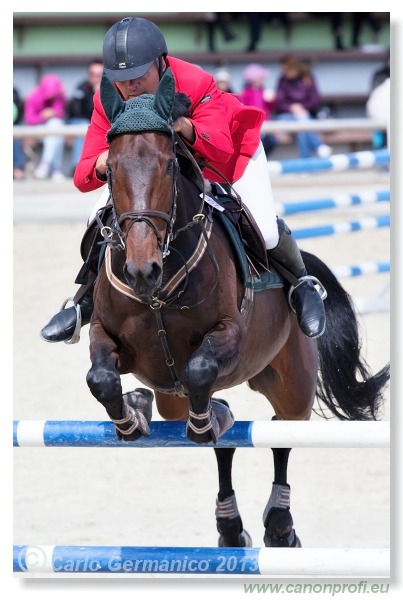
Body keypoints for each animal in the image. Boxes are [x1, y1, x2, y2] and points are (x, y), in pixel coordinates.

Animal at [86, 70, 392, 548]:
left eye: (170, 165)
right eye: (110, 169)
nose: (141, 270)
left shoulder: (230, 334)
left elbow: (199, 371)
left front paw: (200, 421)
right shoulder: (108, 335)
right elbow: (100, 376)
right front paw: (131, 417)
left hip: (292, 381)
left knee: (281, 432)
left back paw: (279, 525)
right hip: (179, 396)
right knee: (216, 433)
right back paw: (229, 521)